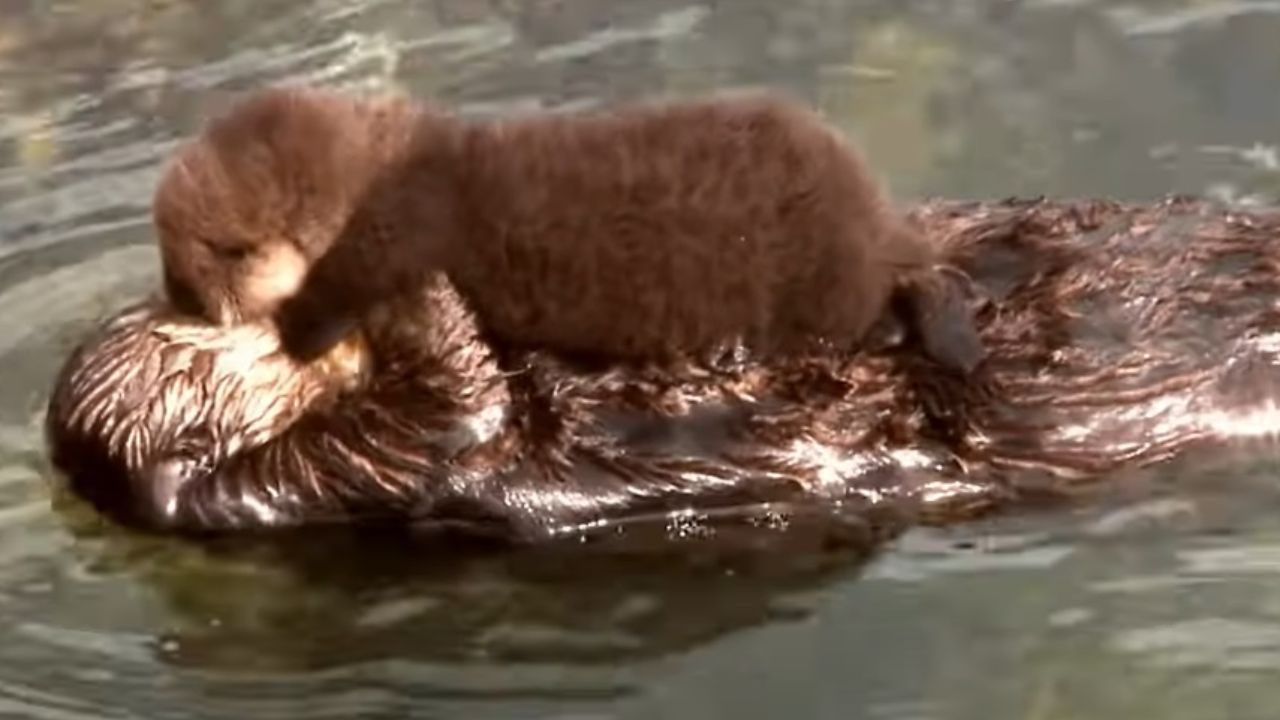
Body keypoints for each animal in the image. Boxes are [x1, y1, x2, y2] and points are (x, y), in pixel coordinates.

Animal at [152, 87, 977, 371]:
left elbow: (344, 285)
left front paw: (297, 325)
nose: (181, 301)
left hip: (819, 285)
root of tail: (880, 225)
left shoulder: (396, 226)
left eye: (211, 259)